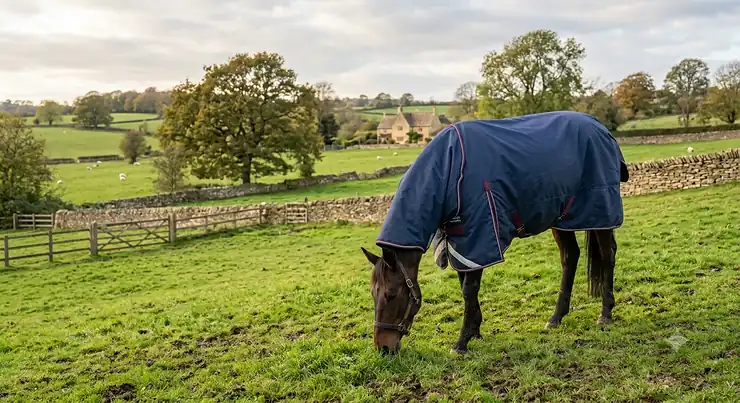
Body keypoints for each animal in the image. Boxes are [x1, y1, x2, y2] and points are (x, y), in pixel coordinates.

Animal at [361, 111, 630, 355]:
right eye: (372, 294)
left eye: (391, 294)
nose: (383, 348)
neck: (450, 169)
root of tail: (600, 128)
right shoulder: (460, 242)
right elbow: (466, 285)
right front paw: (475, 330)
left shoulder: (479, 236)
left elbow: (469, 289)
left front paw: (462, 342)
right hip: (562, 218)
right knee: (570, 257)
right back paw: (556, 317)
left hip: (599, 213)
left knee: (607, 255)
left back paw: (605, 314)